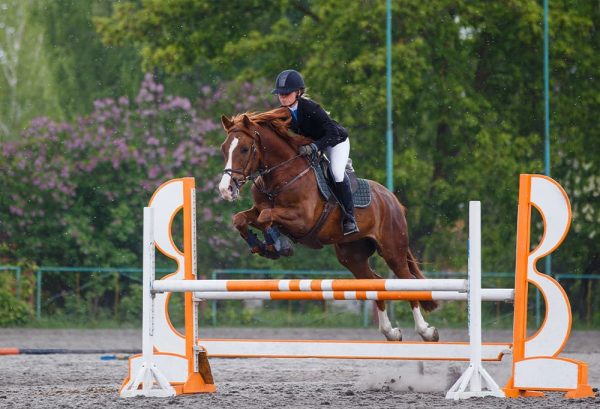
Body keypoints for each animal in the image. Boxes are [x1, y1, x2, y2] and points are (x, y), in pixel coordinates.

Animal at [218, 106, 438, 342]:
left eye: (244, 149)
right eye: (224, 148)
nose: (226, 189)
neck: (281, 175)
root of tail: (393, 201)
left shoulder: (301, 220)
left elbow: (266, 217)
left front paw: (277, 245)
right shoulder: (261, 210)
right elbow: (242, 219)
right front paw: (262, 246)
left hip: (392, 250)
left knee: (407, 280)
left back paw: (426, 331)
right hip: (351, 255)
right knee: (374, 281)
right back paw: (390, 331)